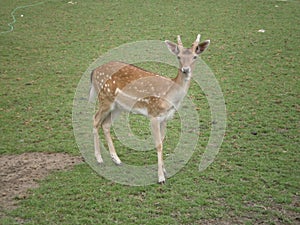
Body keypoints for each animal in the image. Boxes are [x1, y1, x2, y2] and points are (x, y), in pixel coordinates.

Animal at [90, 34, 210, 183]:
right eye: (178, 57)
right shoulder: (153, 114)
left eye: (195, 56)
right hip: (105, 98)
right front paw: (160, 177)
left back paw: (116, 159)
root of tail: (94, 71)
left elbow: (162, 141)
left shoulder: (165, 118)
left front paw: (165, 171)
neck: (170, 98)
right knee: (95, 119)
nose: (185, 69)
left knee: (105, 124)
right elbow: (158, 144)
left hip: (118, 106)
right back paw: (99, 158)